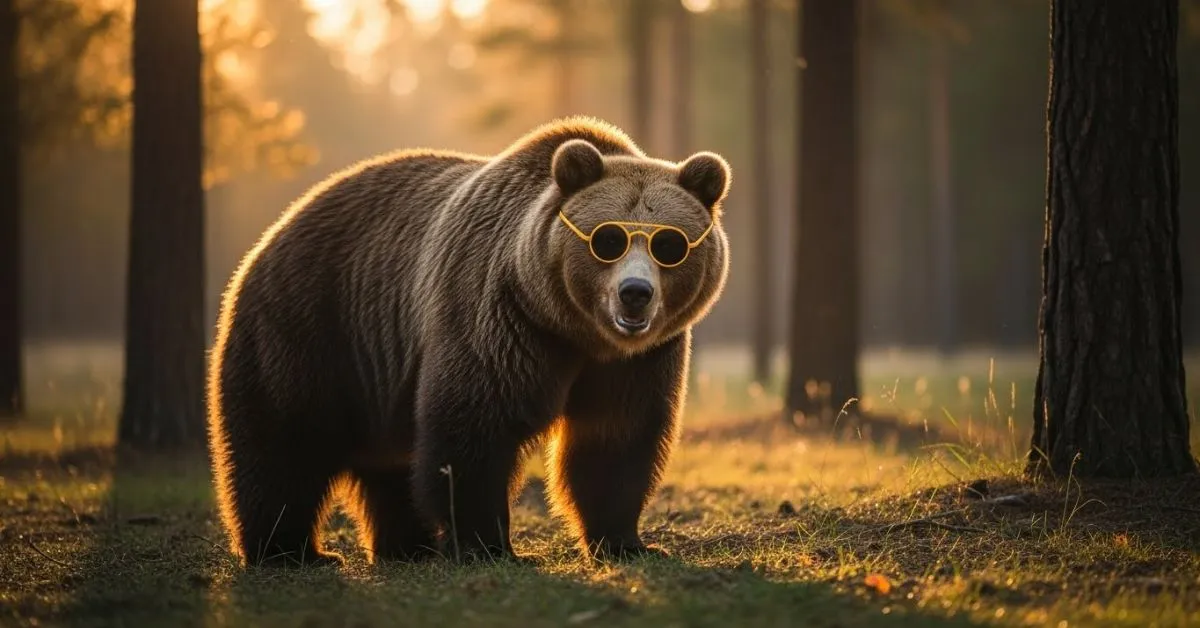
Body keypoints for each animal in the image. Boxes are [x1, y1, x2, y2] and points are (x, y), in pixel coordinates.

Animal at [206, 116, 732, 567]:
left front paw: (628, 543)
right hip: (309, 326)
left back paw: (406, 548)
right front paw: (490, 546)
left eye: (669, 245)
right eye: (607, 241)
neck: (575, 330)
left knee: (389, 461)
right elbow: (475, 424)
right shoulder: (498, 315)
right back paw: (291, 551)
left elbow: (616, 437)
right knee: (284, 443)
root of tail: (276, 229)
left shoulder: (637, 361)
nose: (635, 293)